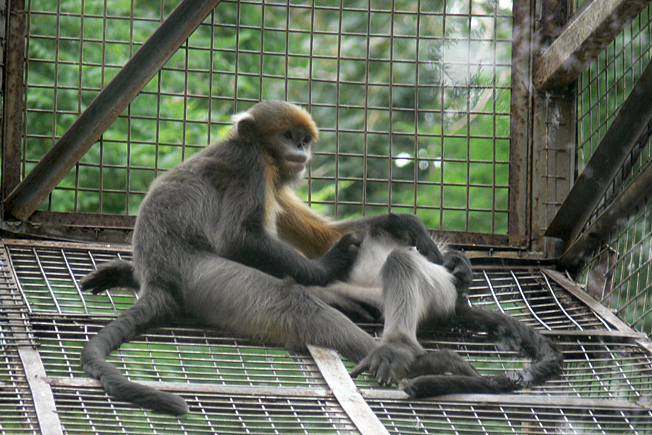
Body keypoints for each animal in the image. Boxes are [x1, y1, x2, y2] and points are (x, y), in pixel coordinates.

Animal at [81, 100, 562, 415]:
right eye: (288, 137)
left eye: (302, 140)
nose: (302, 151)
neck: (259, 151)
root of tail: (158, 276)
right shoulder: (252, 166)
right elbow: (241, 239)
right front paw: (328, 264)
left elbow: (327, 234)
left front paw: (405, 223)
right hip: (203, 276)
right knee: (294, 304)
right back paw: (419, 356)